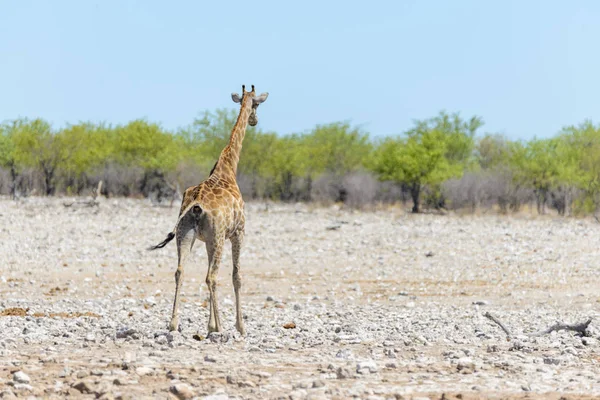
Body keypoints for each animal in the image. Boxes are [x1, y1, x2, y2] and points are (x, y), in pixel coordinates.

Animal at [150, 84, 270, 334]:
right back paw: (221, 328)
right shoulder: (237, 232)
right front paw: (238, 326)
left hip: (186, 234)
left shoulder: (207, 240)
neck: (228, 168)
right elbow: (236, 276)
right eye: (257, 103)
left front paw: (210, 324)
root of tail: (196, 204)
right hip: (218, 237)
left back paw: (173, 323)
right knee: (212, 276)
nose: (254, 121)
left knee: (181, 271)